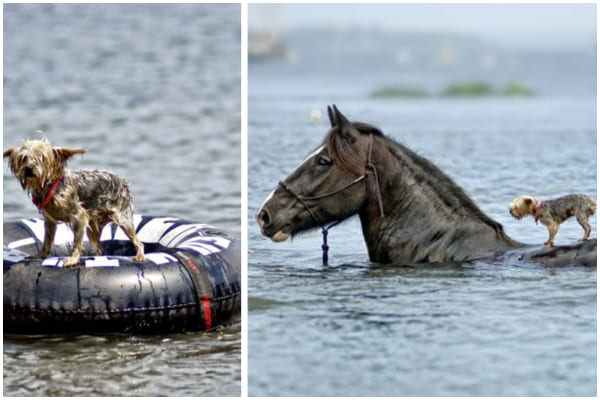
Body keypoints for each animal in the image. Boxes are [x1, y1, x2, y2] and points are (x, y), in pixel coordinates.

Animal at [3, 138, 145, 268]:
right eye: (23, 158)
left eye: (42, 157)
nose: (29, 168)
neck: (49, 186)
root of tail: (123, 181)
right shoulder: (49, 221)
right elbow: (47, 240)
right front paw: (41, 255)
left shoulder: (79, 216)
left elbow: (77, 242)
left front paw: (73, 259)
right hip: (94, 227)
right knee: (98, 246)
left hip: (123, 218)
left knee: (138, 242)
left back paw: (139, 256)